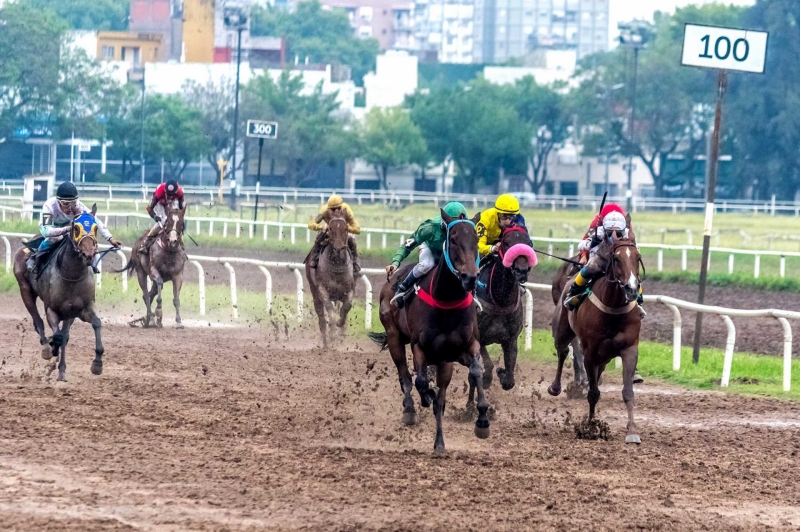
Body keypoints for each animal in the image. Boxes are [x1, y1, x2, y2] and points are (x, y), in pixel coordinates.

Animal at [12, 209, 107, 382]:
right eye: (76, 228)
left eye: (96, 227)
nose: (89, 255)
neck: (71, 275)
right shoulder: (52, 309)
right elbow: (57, 337)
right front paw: (51, 349)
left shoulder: (82, 309)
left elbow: (96, 323)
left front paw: (97, 364)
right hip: (25, 290)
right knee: (38, 321)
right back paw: (46, 348)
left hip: (69, 313)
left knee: (64, 334)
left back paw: (61, 370)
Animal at [306, 212, 356, 350]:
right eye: (331, 229)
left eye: (346, 229)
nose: (338, 248)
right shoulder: (323, 290)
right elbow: (329, 308)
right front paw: (332, 332)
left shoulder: (349, 289)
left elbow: (347, 307)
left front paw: (340, 325)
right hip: (314, 292)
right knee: (322, 319)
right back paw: (326, 343)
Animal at [368, 208, 488, 454]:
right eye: (453, 240)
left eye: (476, 241)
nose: (470, 278)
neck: (446, 301)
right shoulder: (420, 347)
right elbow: (421, 383)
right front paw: (425, 397)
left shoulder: (463, 348)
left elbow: (475, 372)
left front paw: (481, 420)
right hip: (394, 337)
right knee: (405, 376)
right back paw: (410, 410)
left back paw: (439, 441)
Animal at [468, 225, 536, 408]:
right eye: (506, 243)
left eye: (528, 243)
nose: (521, 271)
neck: (500, 300)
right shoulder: (479, 338)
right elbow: (487, 367)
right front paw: (489, 378)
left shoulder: (510, 339)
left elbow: (509, 379)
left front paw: (503, 372)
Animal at [552, 218, 644, 442]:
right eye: (616, 258)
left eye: (637, 257)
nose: (631, 288)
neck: (613, 308)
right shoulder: (590, 353)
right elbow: (593, 393)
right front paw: (591, 428)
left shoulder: (629, 349)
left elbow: (628, 392)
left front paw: (632, 432)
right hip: (562, 329)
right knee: (563, 350)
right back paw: (556, 387)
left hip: (605, 356)